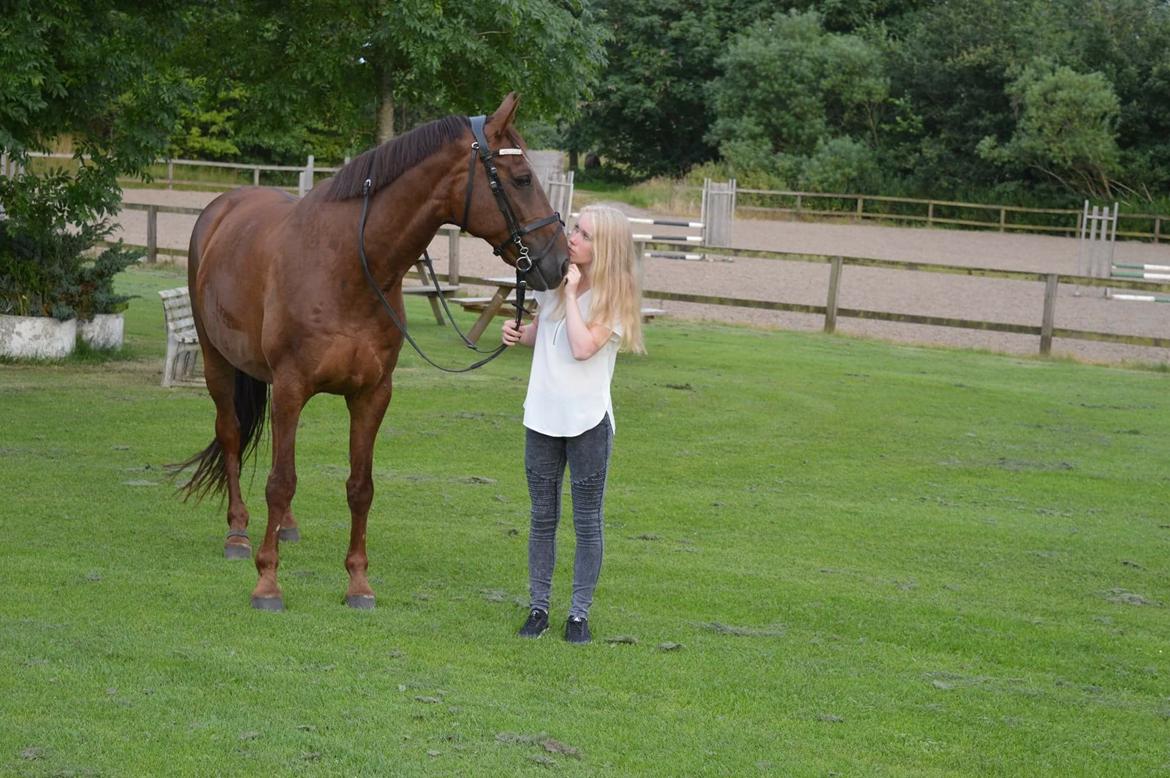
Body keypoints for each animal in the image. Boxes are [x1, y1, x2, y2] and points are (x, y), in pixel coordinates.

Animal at [174, 94, 570, 608]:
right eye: (521, 178)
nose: (560, 262)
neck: (346, 265)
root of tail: (223, 206)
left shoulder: (371, 394)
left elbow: (359, 487)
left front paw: (359, 583)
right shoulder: (291, 388)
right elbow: (280, 482)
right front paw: (267, 582)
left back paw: (286, 528)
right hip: (217, 362)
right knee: (230, 435)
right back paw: (239, 533)